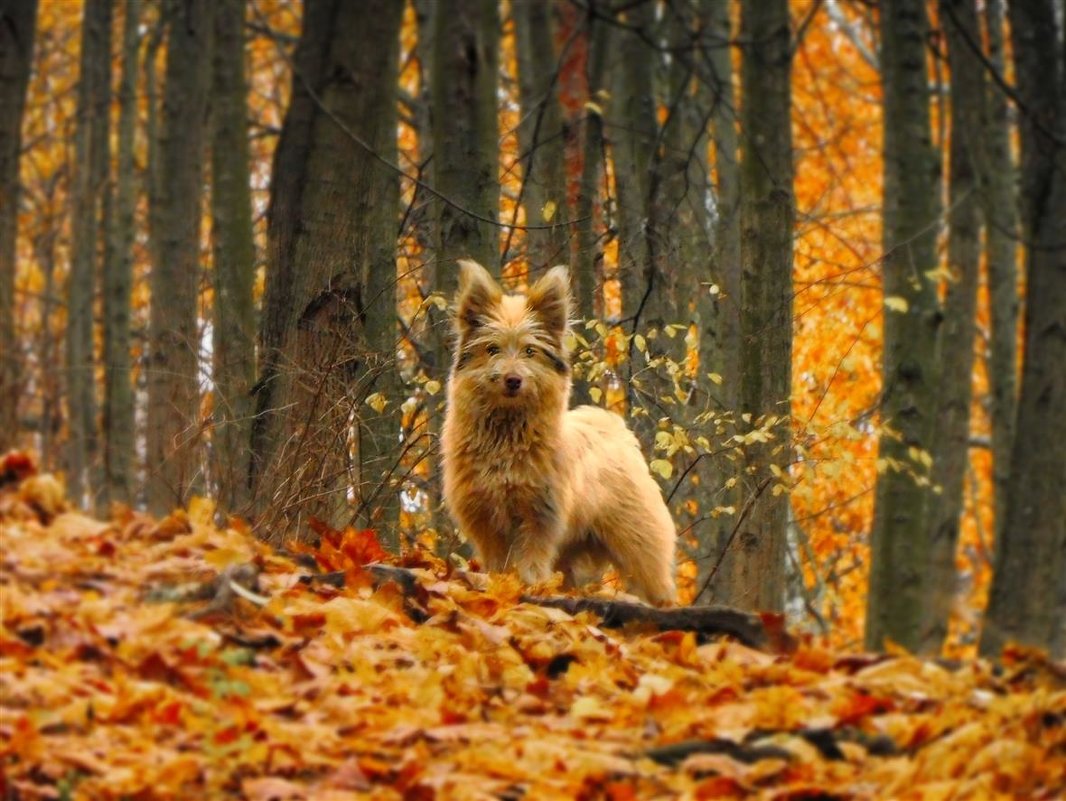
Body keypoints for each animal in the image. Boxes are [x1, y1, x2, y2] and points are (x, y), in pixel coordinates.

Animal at [439, 260, 673, 605]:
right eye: (492, 349)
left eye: (530, 351)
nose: (513, 380)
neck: (507, 432)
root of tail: (614, 428)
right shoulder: (485, 519)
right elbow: (499, 563)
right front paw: (500, 585)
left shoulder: (539, 516)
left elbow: (532, 560)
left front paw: (530, 586)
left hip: (638, 542)